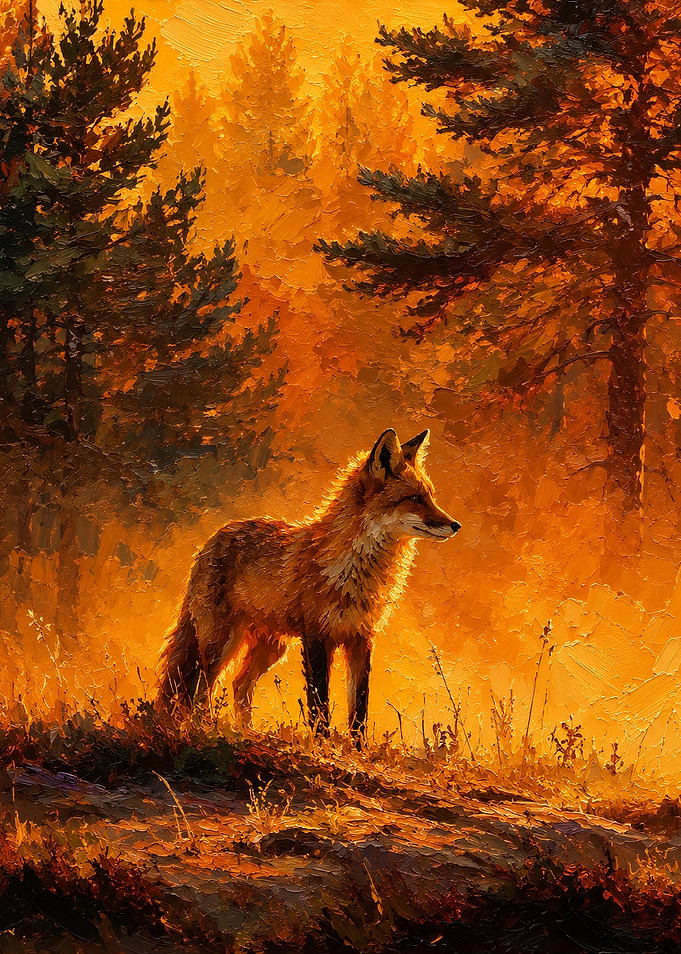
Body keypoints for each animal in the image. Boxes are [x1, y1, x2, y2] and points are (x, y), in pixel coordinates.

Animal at [157, 428, 460, 744]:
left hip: (271, 647)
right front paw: (323, 744)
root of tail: (214, 537)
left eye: (430, 497)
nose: (455, 525)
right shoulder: (316, 636)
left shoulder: (361, 638)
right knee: (201, 687)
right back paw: (204, 728)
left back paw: (247, 732)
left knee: (239, 685)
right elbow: (319, 702)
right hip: (220, 640)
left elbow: (359, 705)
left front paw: (357, 747)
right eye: (414, 498)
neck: (355, 572)